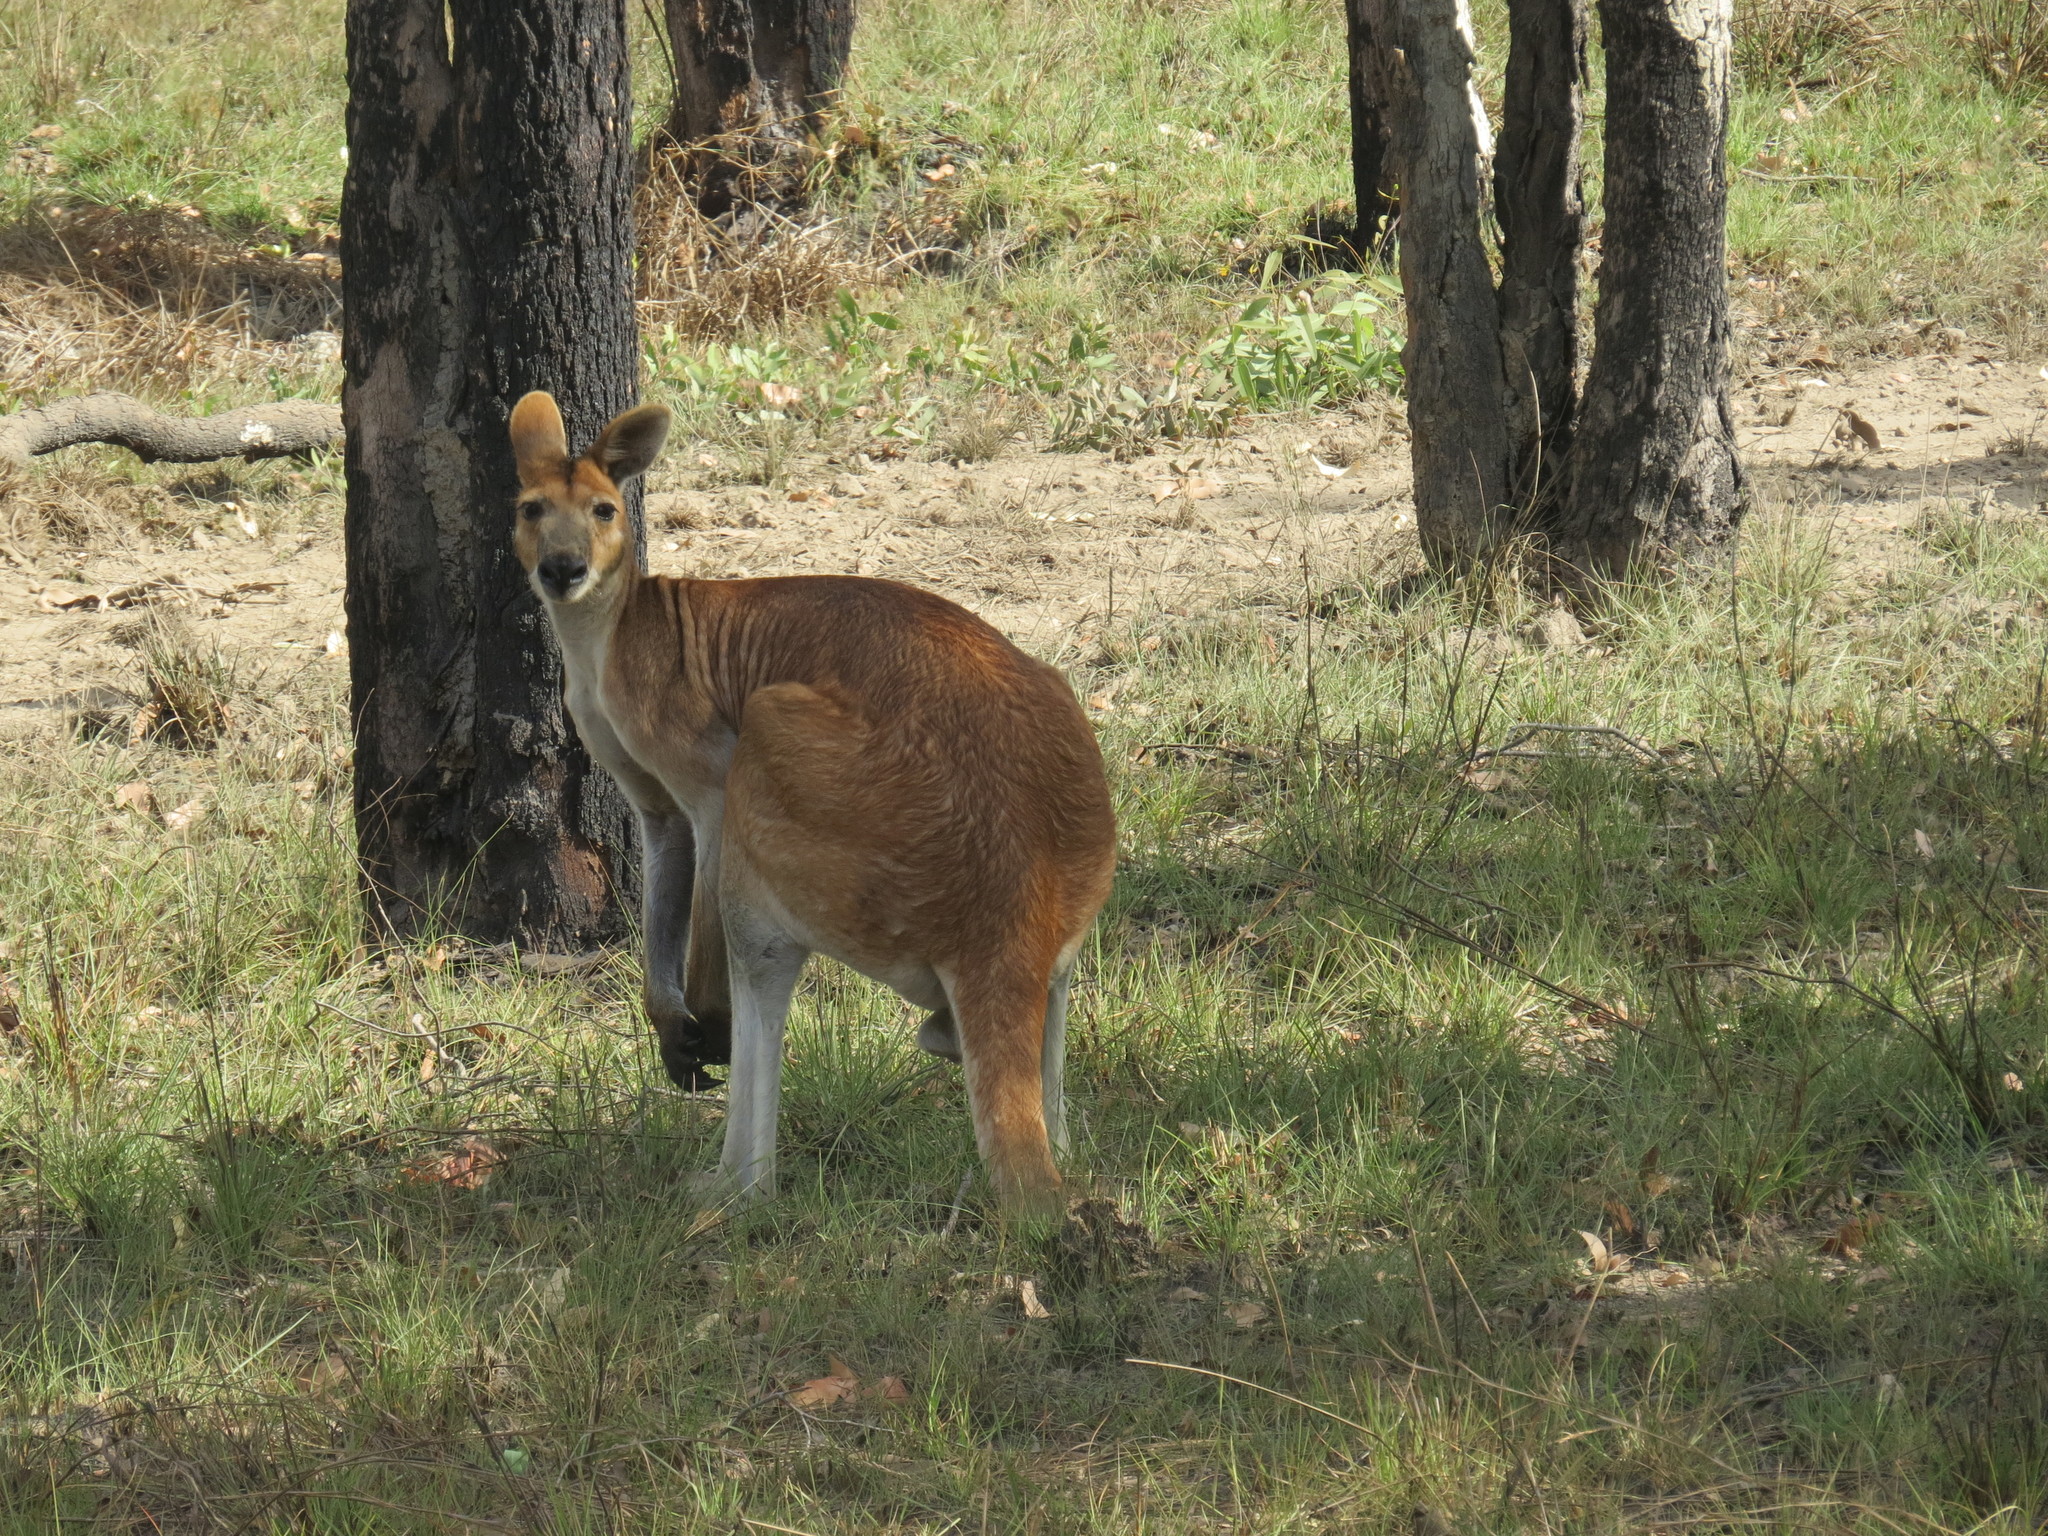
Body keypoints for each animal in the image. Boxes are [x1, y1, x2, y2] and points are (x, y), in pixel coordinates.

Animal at [508, 392, 1116, 1219]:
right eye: (531, 509)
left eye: (604, 509)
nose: (562, 569)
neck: (612, 629)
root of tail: (1007, 913)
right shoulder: (652, 798)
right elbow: (664, 880)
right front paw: (668, 1027)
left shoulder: (705, 766)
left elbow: (701, 868)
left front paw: (697, 1029)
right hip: (1075, 813)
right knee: (1054, 998)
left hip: (783, 761)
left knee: (760, 971)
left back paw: (726, 1186)